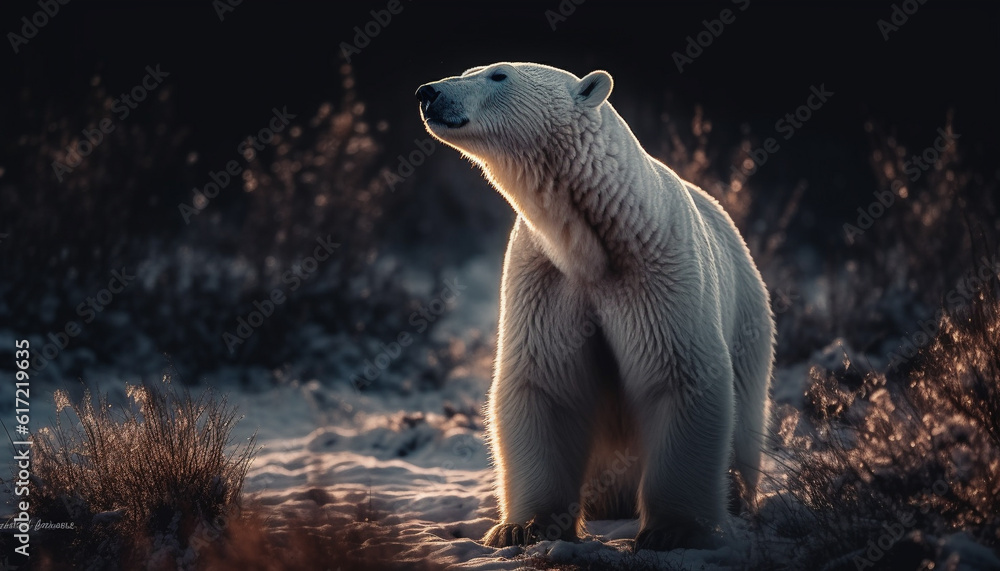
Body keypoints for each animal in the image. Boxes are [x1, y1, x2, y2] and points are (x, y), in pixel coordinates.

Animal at [414, 63, 772, 556]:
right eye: (471, 70)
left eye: (498, 75)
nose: (427, 92)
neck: (598, 239)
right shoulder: (546, 279)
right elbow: (546, 383)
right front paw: (520, 528)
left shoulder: (660, 274)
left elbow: (678, 375)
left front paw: (673, 530)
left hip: (750, 322)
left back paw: (734, 496)